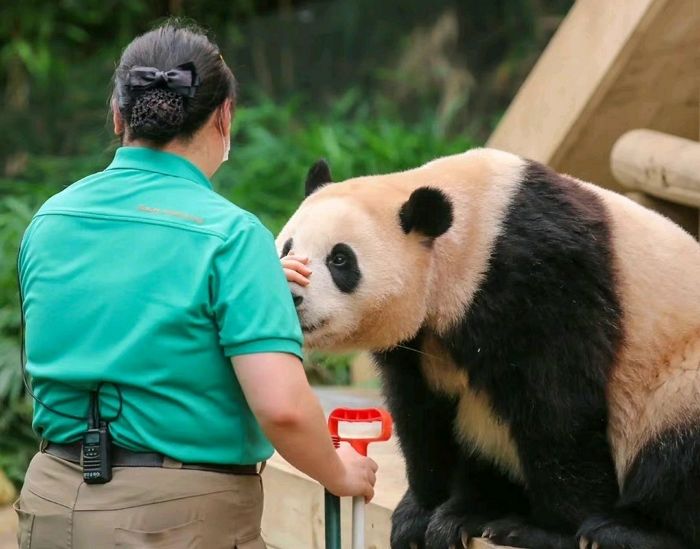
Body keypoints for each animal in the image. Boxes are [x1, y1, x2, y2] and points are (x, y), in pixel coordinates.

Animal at [274, 149, 700, 548]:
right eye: (286, 248)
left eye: (340, 258)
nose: (291, 297)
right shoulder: (420, 340)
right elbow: (419, 408)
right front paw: (420, 511)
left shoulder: (544, 279)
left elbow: (557, 404)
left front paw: (553, 530)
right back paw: (472, 510)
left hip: (675, 373)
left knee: (675, 447)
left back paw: (626, 528)